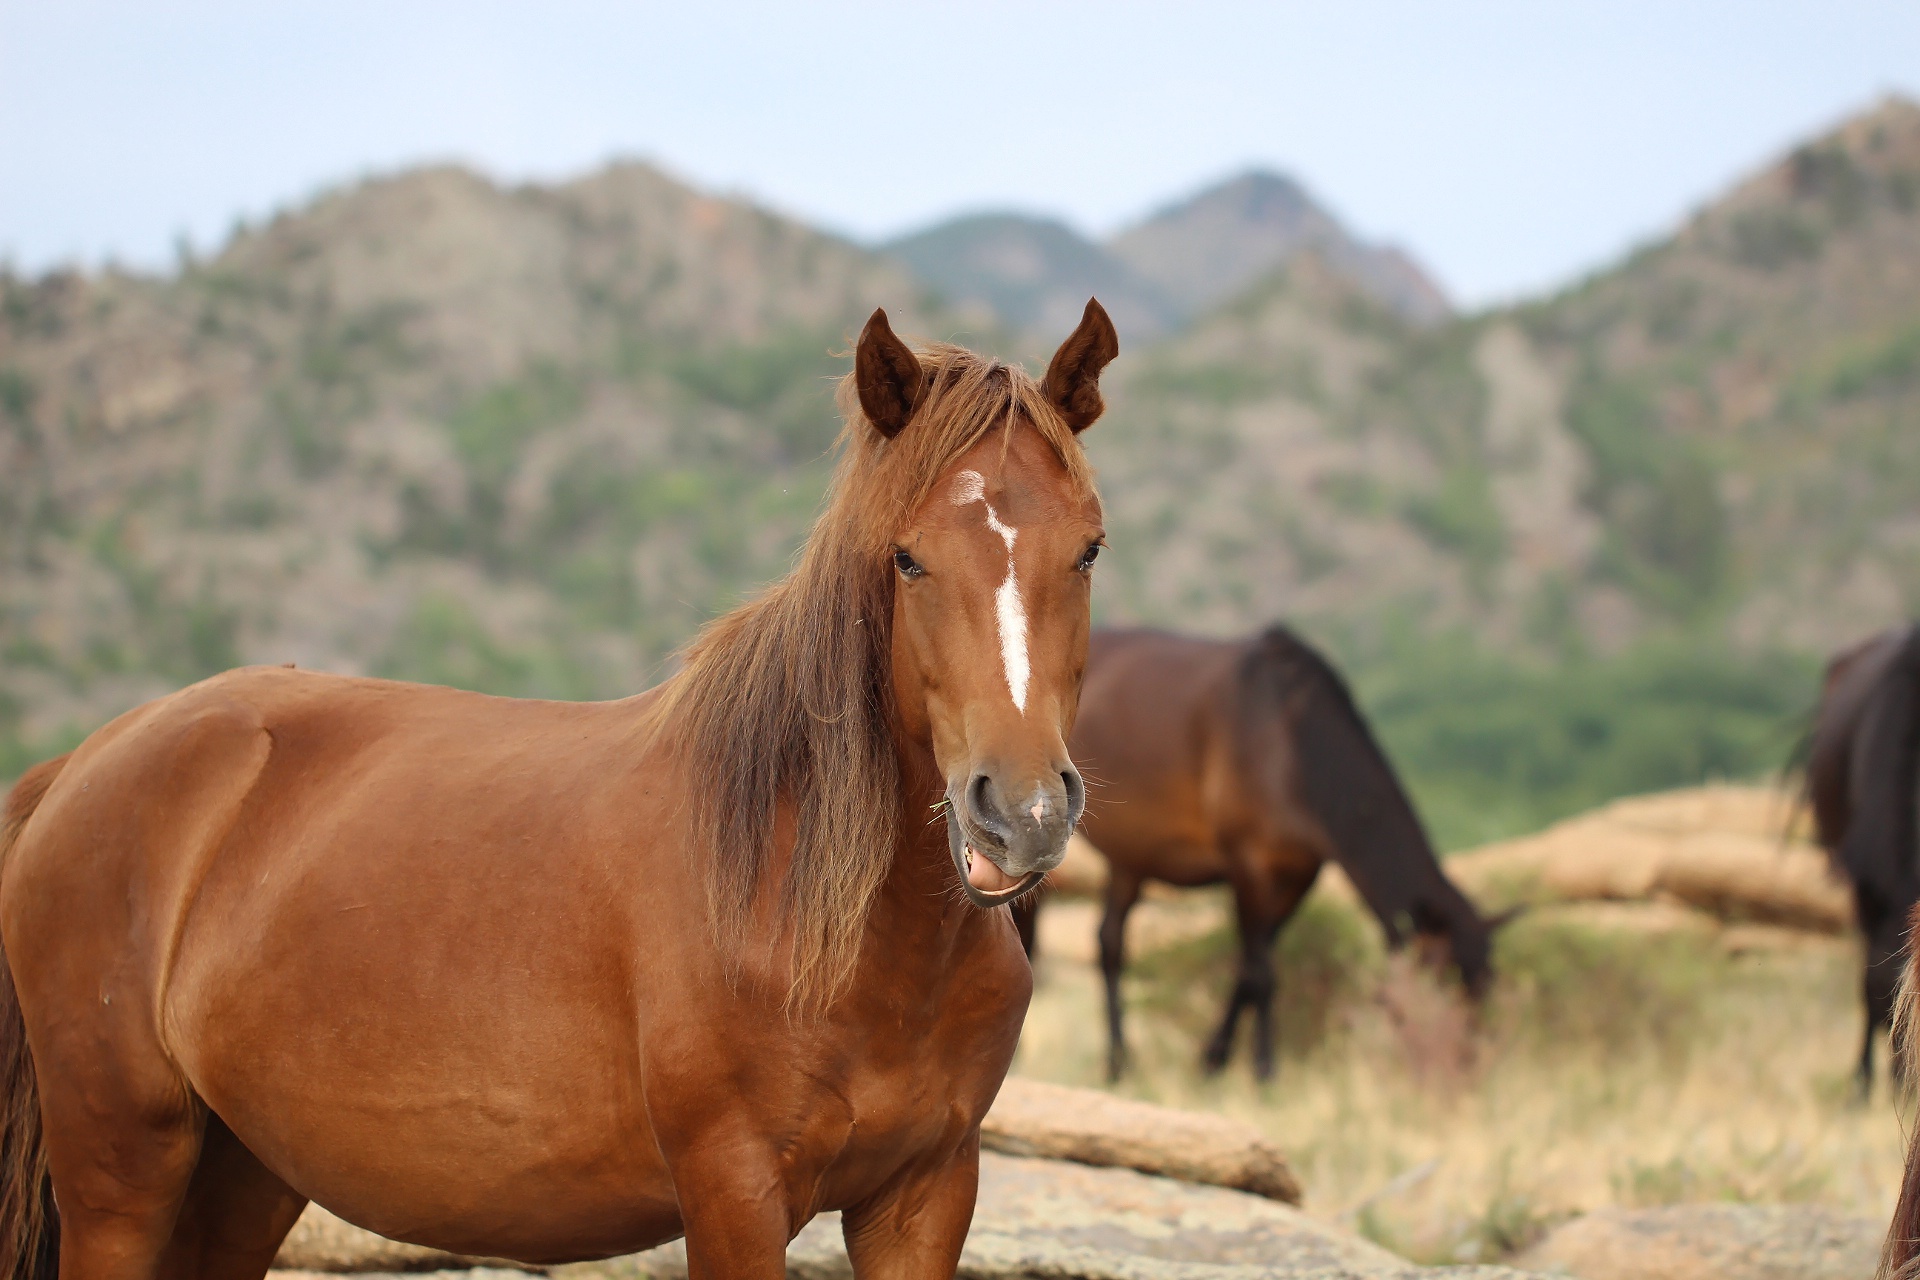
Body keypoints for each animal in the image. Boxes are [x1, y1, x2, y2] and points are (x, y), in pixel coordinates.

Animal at [0, 303, 1121, 1280]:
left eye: (1088, 550)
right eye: (908, 559)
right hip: (123, 1173)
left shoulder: (923, 1196)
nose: (1021, 812)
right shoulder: (735, 1191)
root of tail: (89, 761)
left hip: (244, 1171)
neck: (814, 907)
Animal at [1021, 621, 1497, 1082]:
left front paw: (1213, 1060)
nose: (1464, 1067)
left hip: (1132, 857)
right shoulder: (1247, 865)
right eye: (1443, 981)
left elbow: (1250, 970)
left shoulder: (1299, 876)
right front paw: (1264, 1069)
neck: (1293, 745)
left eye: (1483, 989)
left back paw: (1118, 1062)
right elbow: (1261, 972)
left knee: (1110, 942)